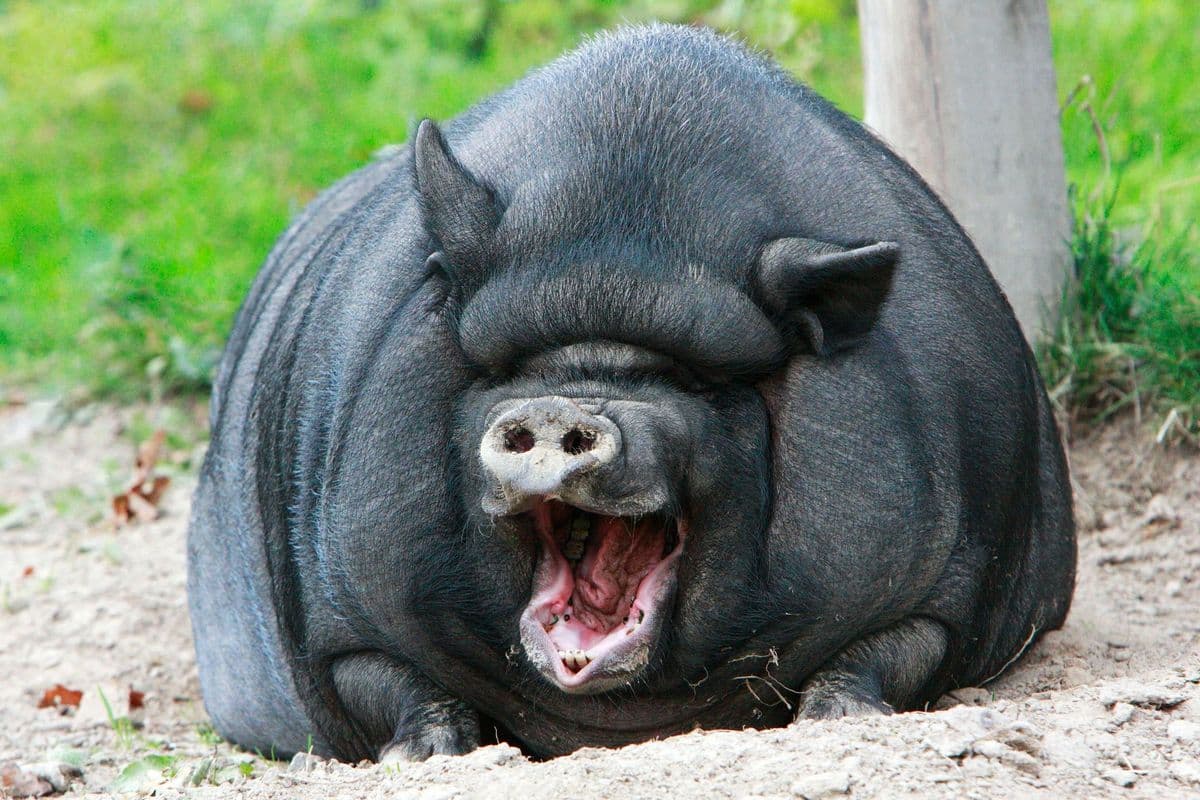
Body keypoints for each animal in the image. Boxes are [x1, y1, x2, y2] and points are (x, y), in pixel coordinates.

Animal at [188, 24, 1075, 762]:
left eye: (697, 381)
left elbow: (895, 649)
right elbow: (382, 677)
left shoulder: (944, 582)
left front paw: (838, 718)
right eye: (509, 369)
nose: (558, 409)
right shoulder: (338, 610)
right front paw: (423, 756)